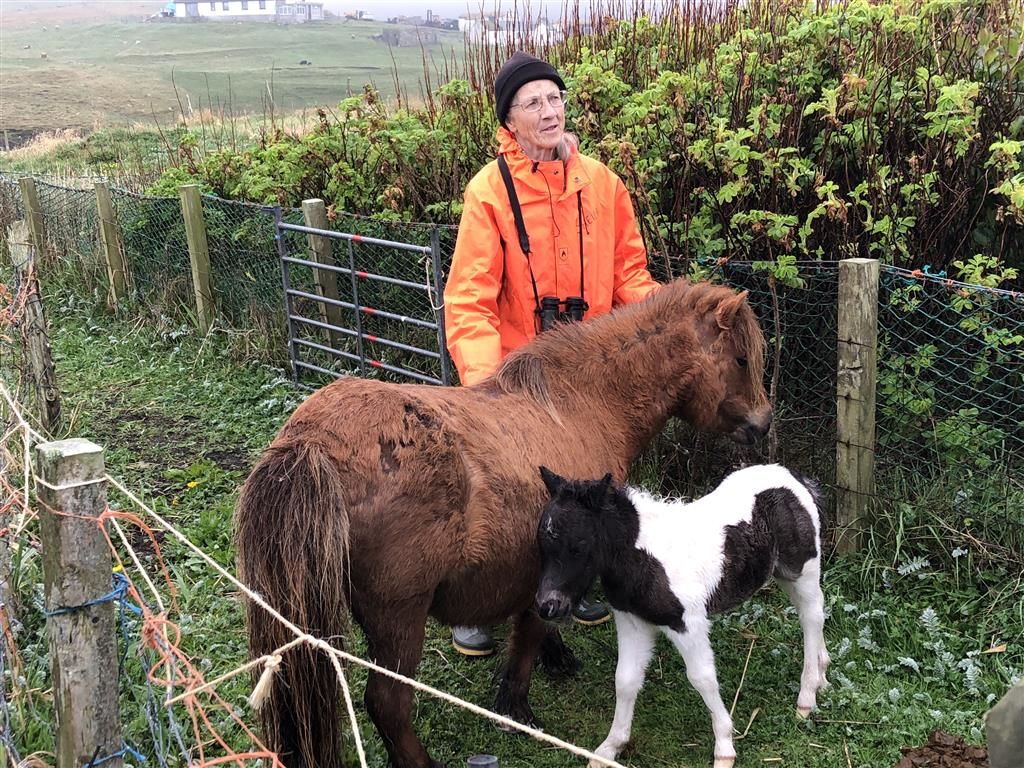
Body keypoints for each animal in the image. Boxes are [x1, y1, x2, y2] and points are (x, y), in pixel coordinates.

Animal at [234, 278, 772, 768]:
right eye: (742, 360)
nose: (763, 424)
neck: (581, 406)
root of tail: (311, 442)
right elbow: (527, 638)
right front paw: (518, 708)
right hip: (398, 618)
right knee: (387, 703)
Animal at [535, 464, 830, 768]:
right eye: (542, 544)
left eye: (579, 545)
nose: (548, 606)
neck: (642, 559)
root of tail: (795, 478)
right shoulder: (631, 622)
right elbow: (625, 679)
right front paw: (609, 748)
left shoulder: (688, 624)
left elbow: (702, 678)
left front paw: (724, 747)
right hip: (783, 574)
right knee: (812, 612)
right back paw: (822, 675)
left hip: (802, 569)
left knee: (812, 616)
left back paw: (806, 697)